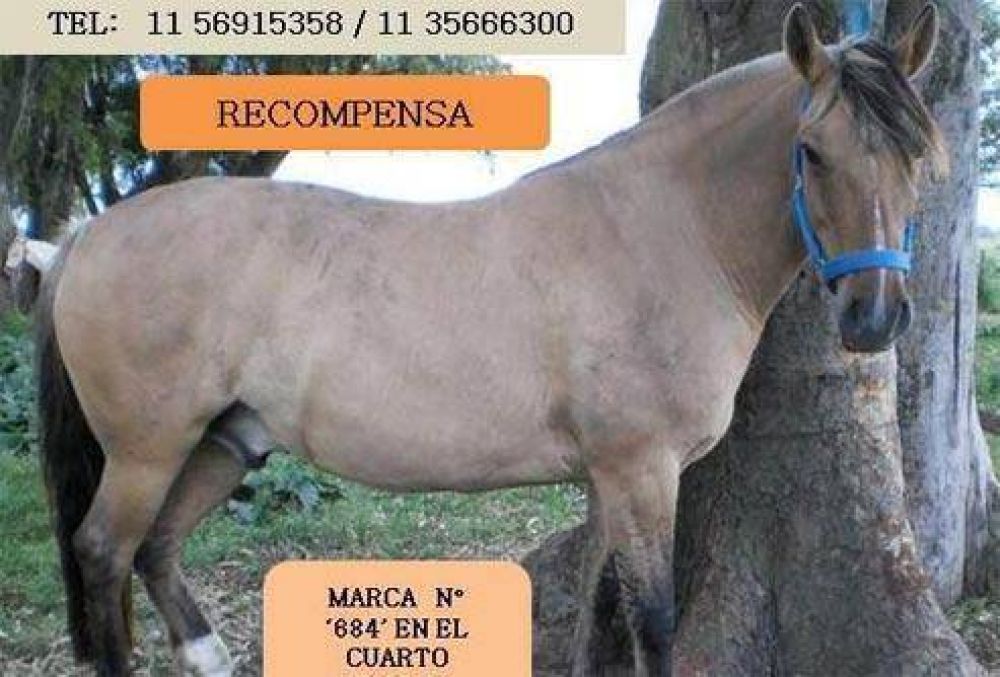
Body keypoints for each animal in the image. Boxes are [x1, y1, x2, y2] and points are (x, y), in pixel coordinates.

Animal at [36, 4, 943, 676]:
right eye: (811, 152)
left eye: (915, 157)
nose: (874, 316)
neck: (665, 231)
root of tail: (86, 234)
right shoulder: (641, 469)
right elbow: (651, 619)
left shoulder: (608, 478)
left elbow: (598, 612)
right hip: (148, 448)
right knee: (105, 551)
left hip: (229, 438)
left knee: (155, 548)